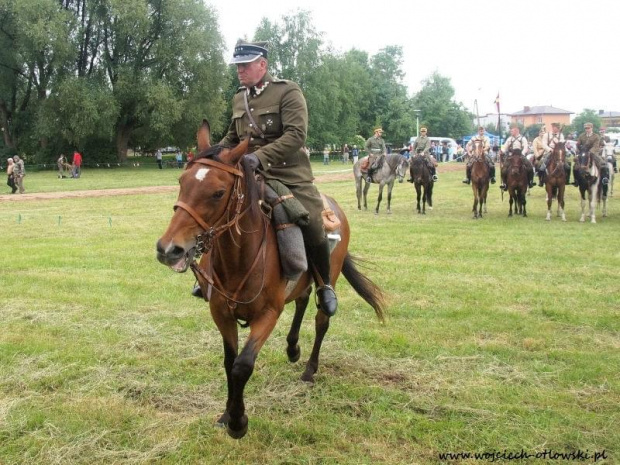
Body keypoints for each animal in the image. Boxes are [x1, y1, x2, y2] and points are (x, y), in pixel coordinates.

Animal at [156, 120, 382, 438]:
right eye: (181, 182)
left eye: (218, 192)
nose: (168, 249)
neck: (240, 259)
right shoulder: (221, 314)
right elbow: (229, 362)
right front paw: (227, 414)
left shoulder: (268, 314)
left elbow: (242, 365)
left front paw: (238, 422)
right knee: (301, 300)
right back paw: (292, 348)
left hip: (330, 276)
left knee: (321, 319)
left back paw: (309, 370)